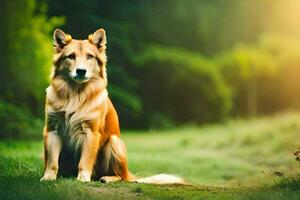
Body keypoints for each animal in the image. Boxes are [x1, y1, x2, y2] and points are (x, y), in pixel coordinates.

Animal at [39, 28, 183, 184]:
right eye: (70, 56)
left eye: (90, 56)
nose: (81, 71)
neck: (75, 95)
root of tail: (129, 173)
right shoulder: (52, 130)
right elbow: (52, 161)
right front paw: (48, 176)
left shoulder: (91, 132)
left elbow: (84, 161)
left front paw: (83, 178)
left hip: (114, 142)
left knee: (120, 176)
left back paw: (108, 178)